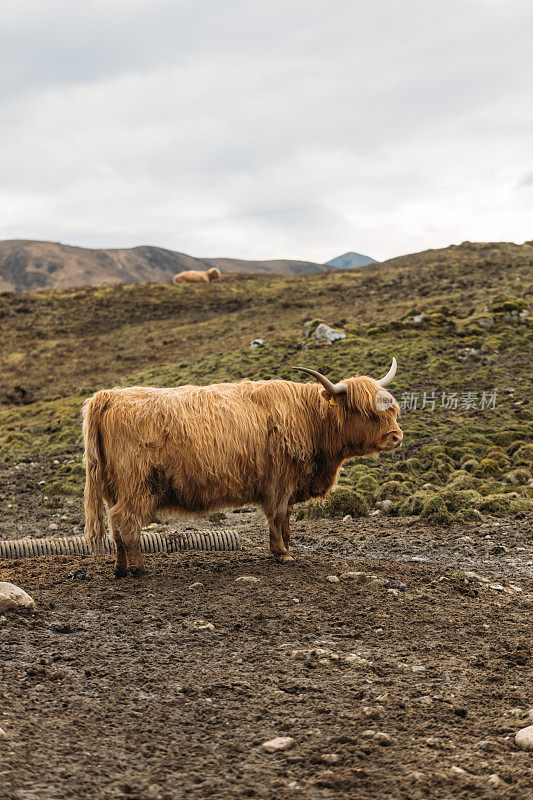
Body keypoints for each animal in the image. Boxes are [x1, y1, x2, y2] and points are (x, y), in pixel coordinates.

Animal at [82, 360, 400, 576]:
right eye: (364, 411)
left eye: (392, 408)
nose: (396, 436)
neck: (309, 419)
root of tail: (108, 396)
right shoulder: (279, 482)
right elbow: (277, 517)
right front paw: (282, 554)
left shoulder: (289, 485)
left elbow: (286, 521)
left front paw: (286, 548)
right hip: (136, 485)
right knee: (126, 520)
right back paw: (138, 568)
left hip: (112, 488)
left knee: (115, 525)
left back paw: (120, 567)